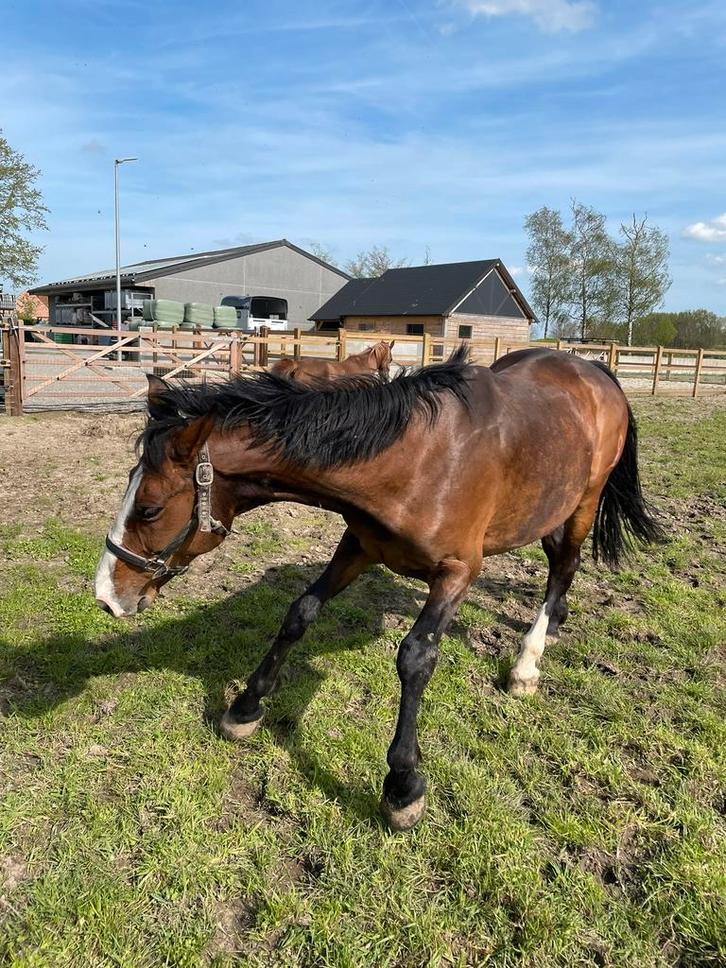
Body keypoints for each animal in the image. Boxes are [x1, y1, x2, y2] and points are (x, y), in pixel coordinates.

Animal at [95, 347, 661, 831]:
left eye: (150, 508)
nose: (106, 594)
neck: (417, 461)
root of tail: (593, 369)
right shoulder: (358, 547)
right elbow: (300, 612)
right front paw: (246, 706)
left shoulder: (458, 572)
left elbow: (415, 658)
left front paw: (403, 785)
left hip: (584, 502)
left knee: (563, 567)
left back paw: (527, 664)